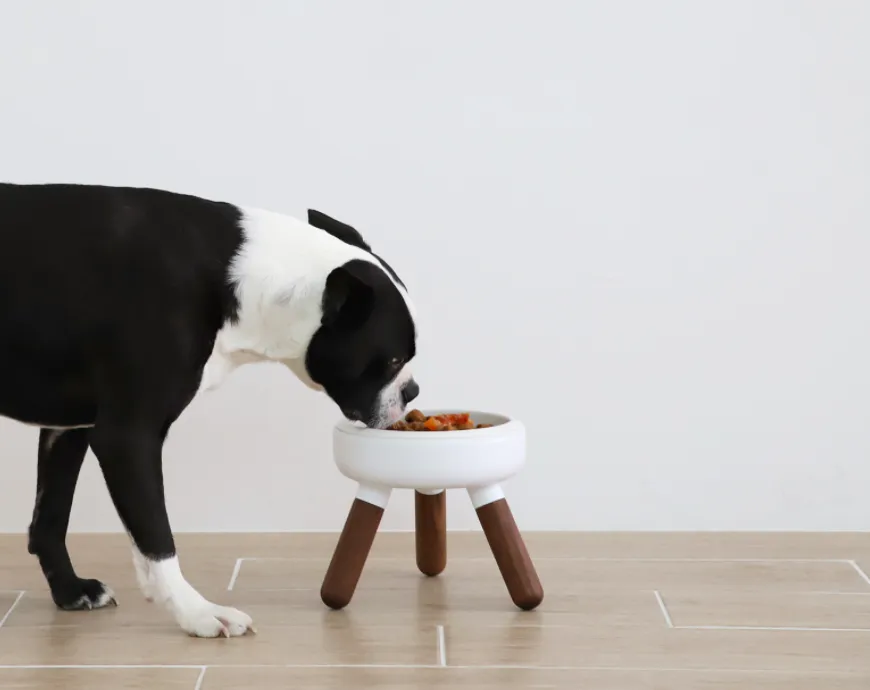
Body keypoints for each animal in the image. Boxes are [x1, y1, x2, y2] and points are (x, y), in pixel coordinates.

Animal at [0, 181, 422, 636]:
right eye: (394, 360)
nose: (413, 390)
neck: (241, 280)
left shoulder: (69, 427)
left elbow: (50, 518)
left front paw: (70, 591)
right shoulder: (127, 438)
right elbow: (157, 538)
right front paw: (196, 612)